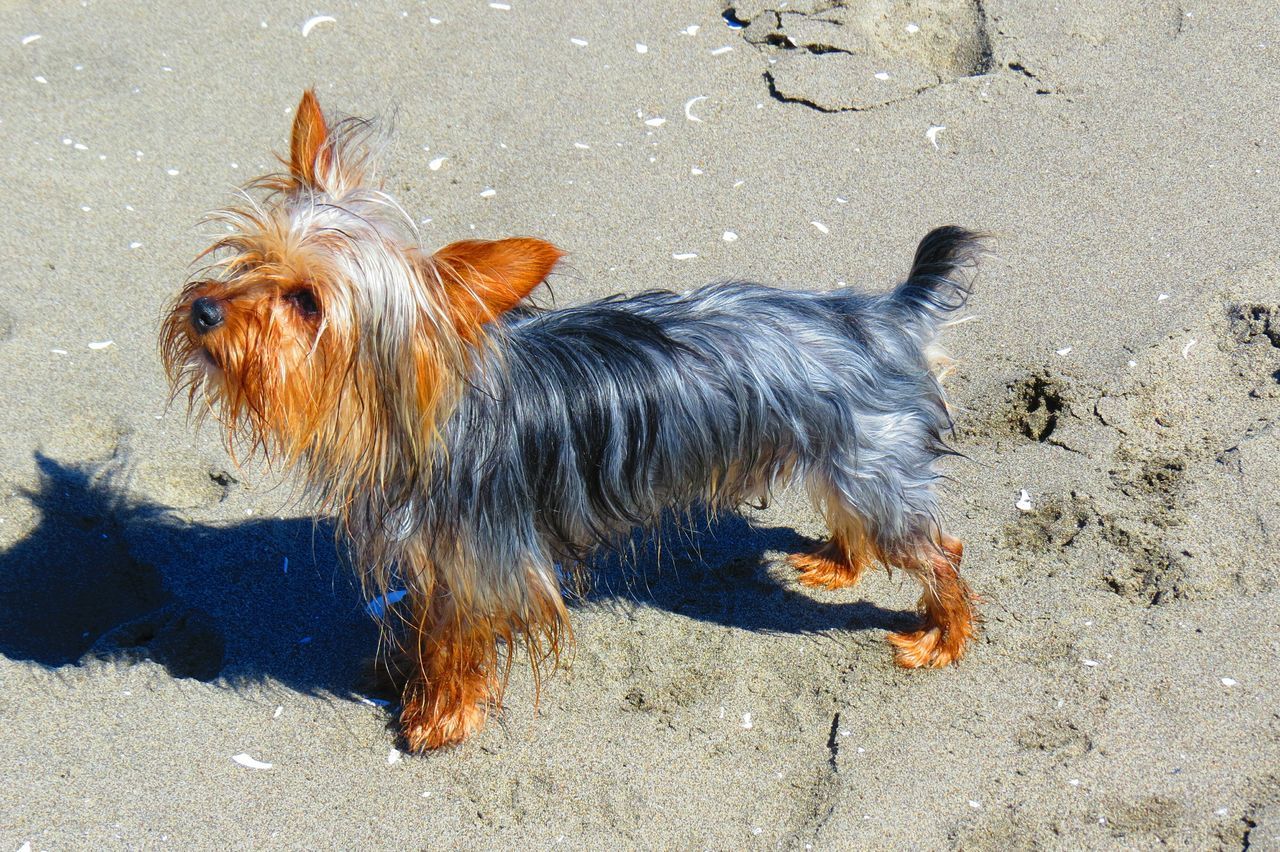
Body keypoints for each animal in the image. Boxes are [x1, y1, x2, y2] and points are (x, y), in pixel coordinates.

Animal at [160, 89, 977, 747]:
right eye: (246, 257)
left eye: (307, 303)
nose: (203, 311)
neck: (411, 418)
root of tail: (883, 315)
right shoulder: (435, 559)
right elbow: (423, 627)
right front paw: (400, 672)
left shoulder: (483, 564)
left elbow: (456, 644)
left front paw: (439, 716)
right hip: (847, 463)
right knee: (864, 523)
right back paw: (836, 563)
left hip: (873, 464)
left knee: (942, 550)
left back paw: (943, 638)